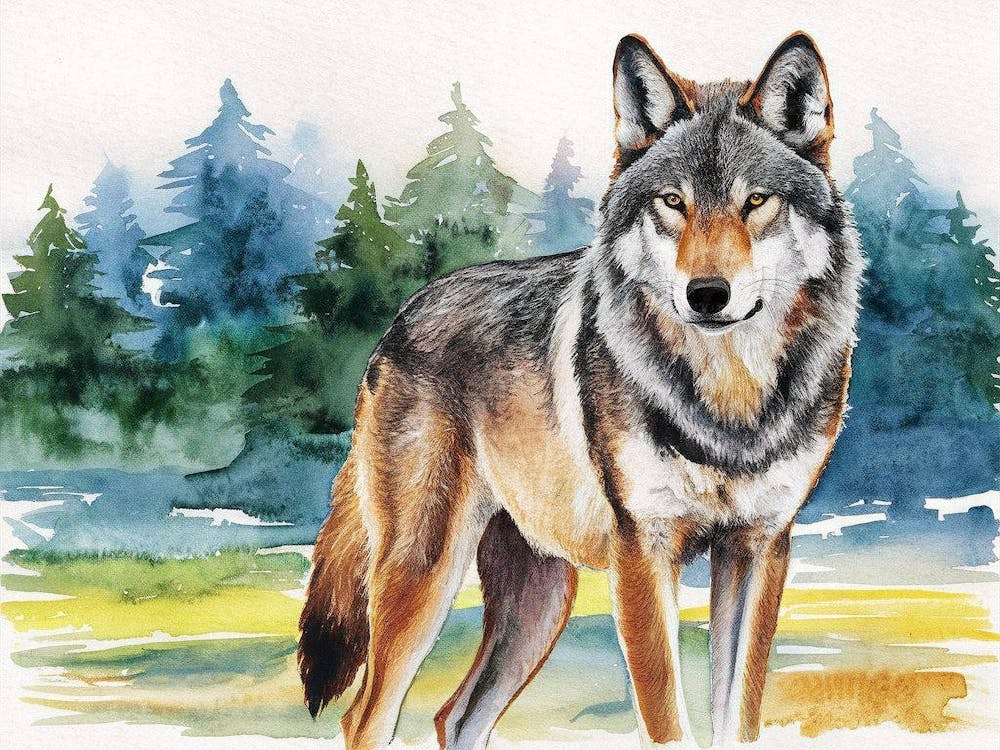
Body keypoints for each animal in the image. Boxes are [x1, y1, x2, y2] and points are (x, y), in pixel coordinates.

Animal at [298, 31, 862, 750]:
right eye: (673, 202)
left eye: (755, 201)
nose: (707, 294)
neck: (726, 402)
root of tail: (398, 321)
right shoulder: (643, 555)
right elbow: (668, 721)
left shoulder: (759, 549)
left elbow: (737, 718)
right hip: (424, 577)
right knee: (365, 717)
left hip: (539, 604)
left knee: (454, 715)